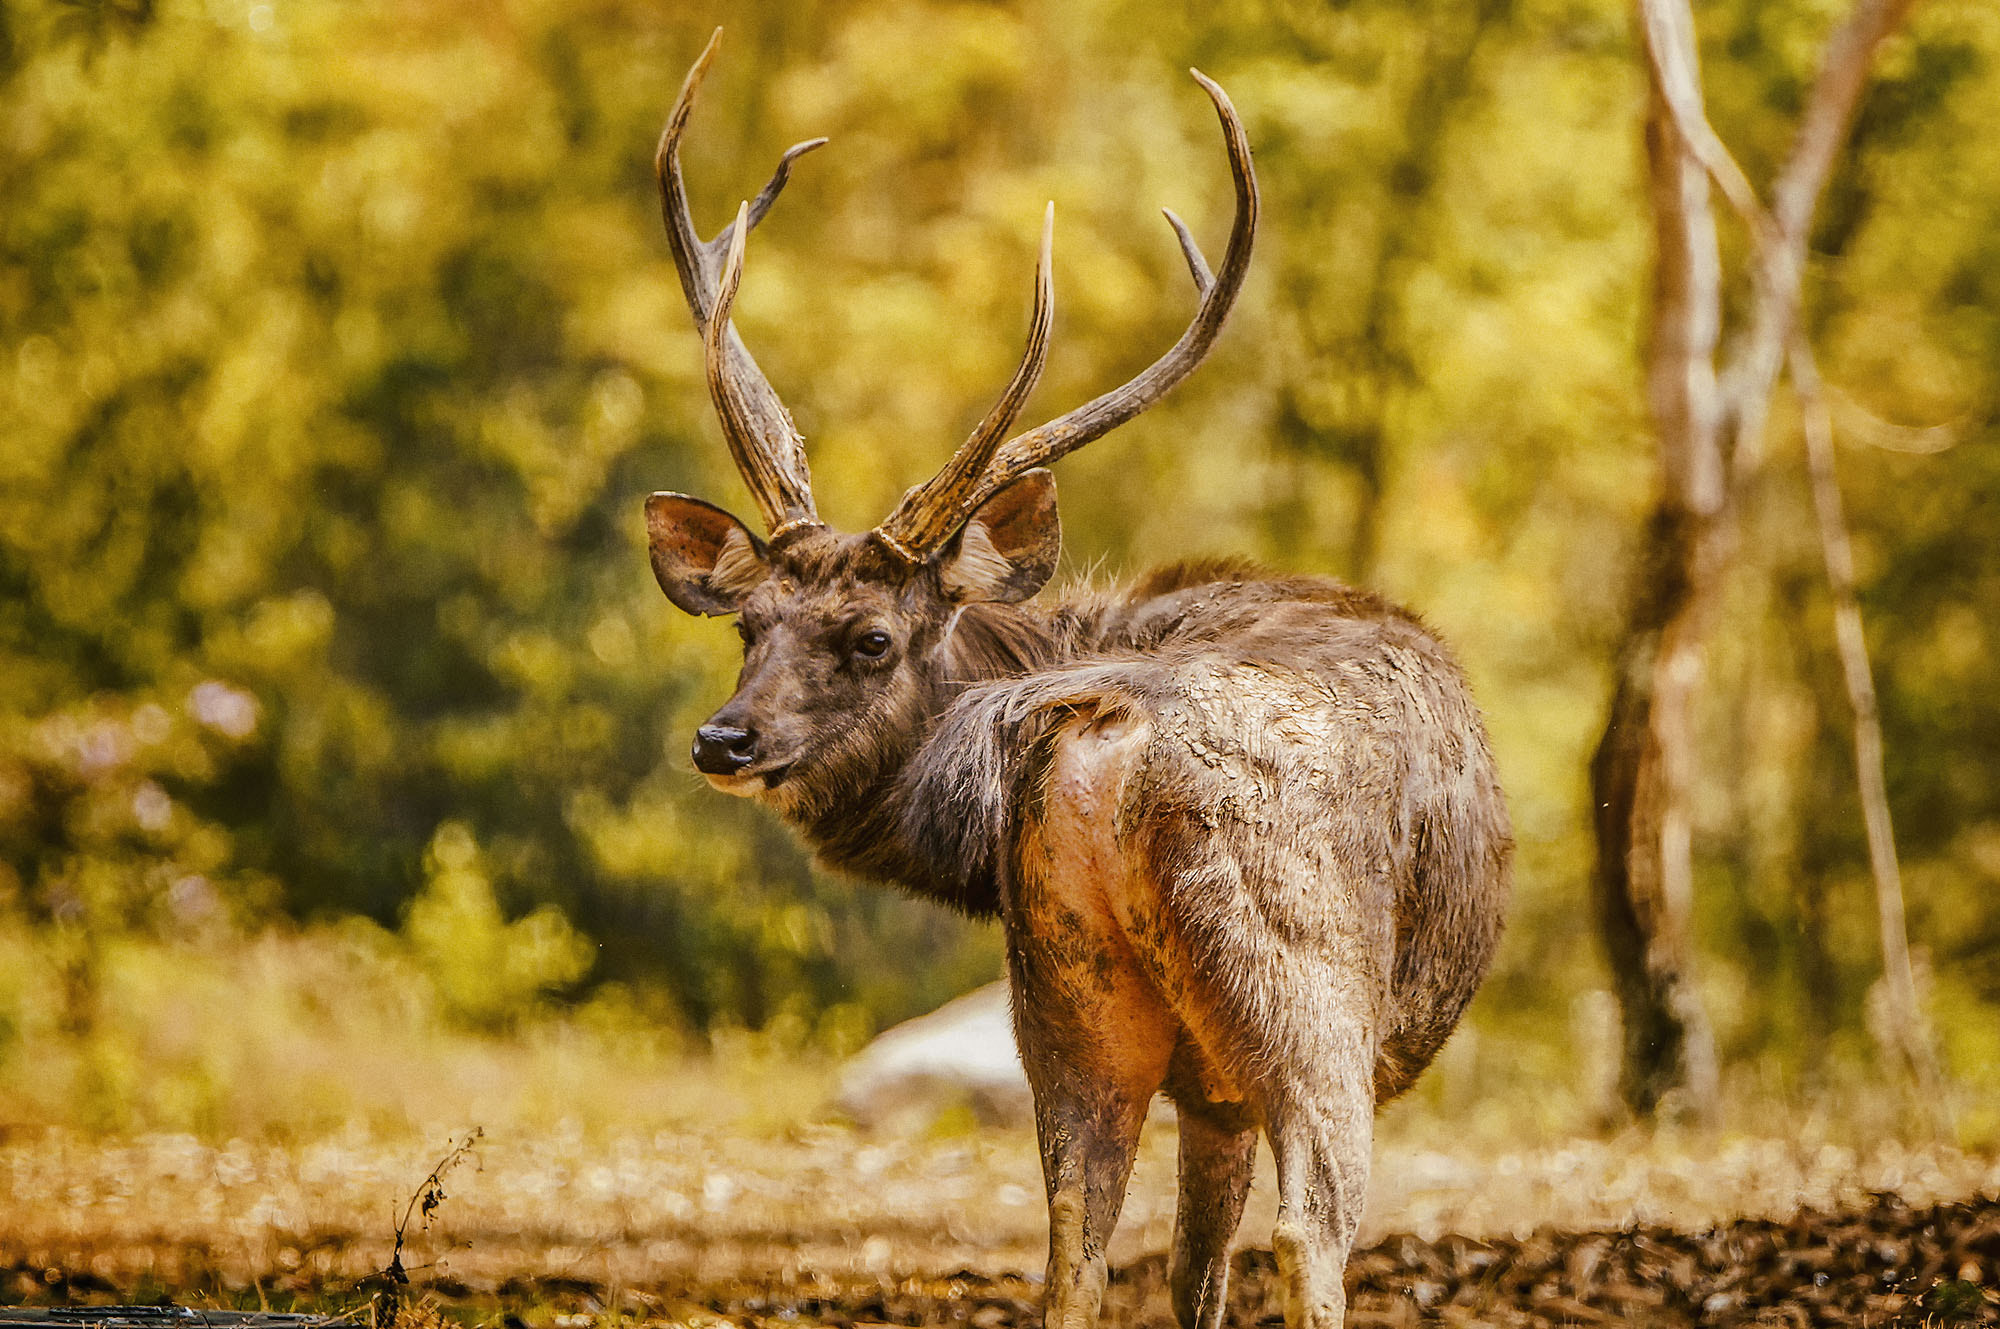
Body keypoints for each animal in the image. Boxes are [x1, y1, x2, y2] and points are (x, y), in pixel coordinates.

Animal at [648, 28, 1504, 1329]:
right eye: (748, 624)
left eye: (867, 639)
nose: (723, 740)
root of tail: (1108, 726)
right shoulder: (1230, 1076)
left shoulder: (1186, 1076)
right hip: (1303, 1001)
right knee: (1309, 1233)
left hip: (1063, 1000)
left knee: (1069, 1249)